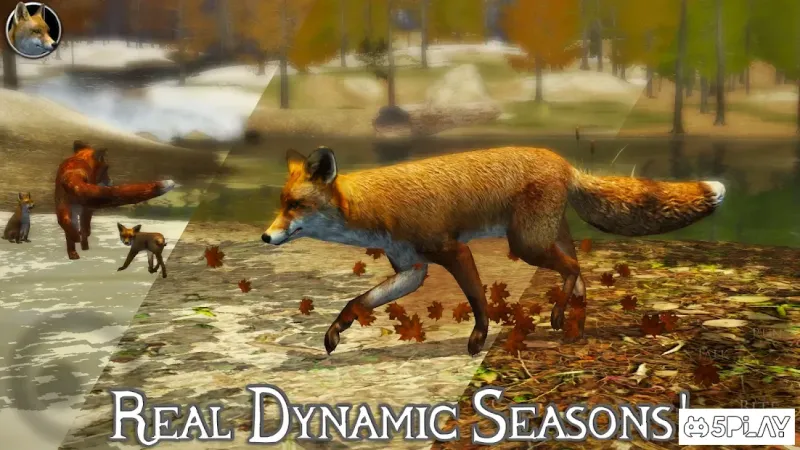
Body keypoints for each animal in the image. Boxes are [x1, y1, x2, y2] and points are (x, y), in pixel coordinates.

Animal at [262, 146, 726, 356]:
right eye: (280, 204)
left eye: (295, 206)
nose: (265, 237)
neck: (374, 207)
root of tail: (563, 162)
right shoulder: (412, 269)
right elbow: (358, 302)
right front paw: (334, 332)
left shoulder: (452, 250)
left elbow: (478, 300)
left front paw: (479, 338)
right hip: (544, 238)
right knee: (579, 271)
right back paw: (574, 321)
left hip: (527, 244)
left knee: (571, 269)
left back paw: (560, 315)